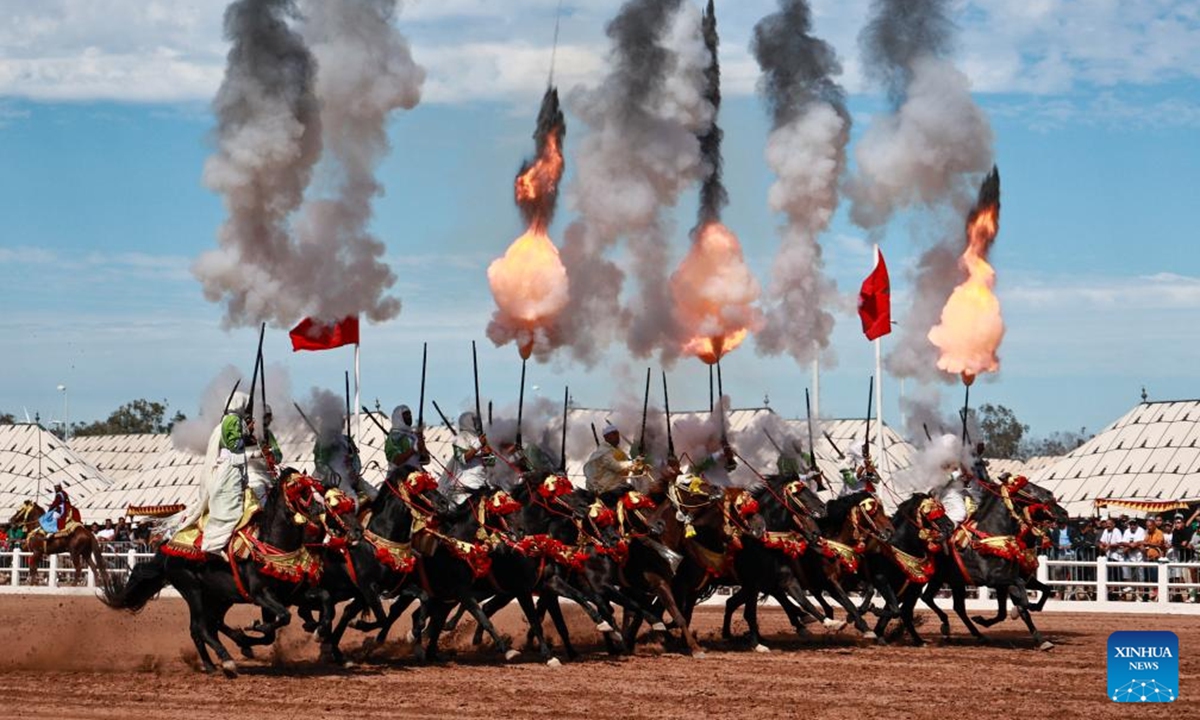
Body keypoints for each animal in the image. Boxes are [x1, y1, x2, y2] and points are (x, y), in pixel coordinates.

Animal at [99, 470, 357, 676]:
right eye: (301, 492)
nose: (354, 532)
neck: (274, 544)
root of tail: (166, 551)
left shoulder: (291, 594)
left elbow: (324, 601)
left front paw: (318, 632)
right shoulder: (262, 595)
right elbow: (282, 618)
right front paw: (255, 629)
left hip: (219, 597)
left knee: (206, 626)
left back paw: (213, 663)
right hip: (193, 591)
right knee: (202, 627)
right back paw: (227, 661)